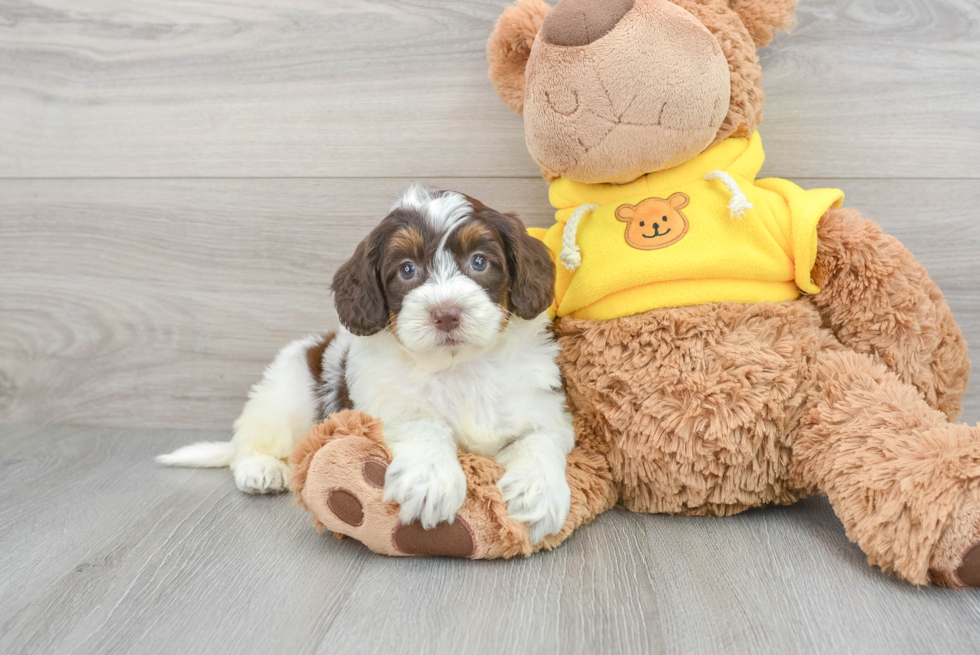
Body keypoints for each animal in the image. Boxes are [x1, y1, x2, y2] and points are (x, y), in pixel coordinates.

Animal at [159, 187, 576, 544]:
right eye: (406, 270)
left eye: (479, 262)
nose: (446, 314)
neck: (459, 368)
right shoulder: (382, 402)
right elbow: (422, 422)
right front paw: (431, 478)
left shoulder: (543, 407)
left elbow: (541, 439)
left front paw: (537, 493)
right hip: (287, 391)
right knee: (253, 437)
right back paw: (260, 468)